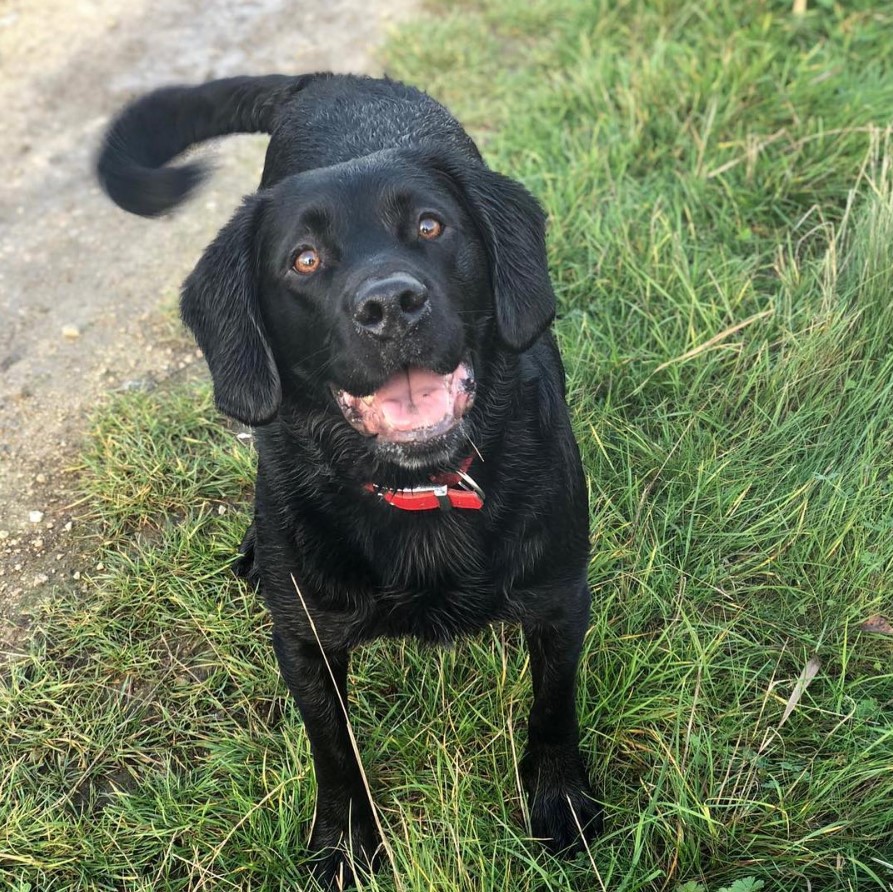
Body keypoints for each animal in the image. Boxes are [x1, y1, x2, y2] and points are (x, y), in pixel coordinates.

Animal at [96, 73, 600, 880]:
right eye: (303, 260)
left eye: (430, 227)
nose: (390, 304)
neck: (419, 489)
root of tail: (330, 79)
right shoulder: (305, 642)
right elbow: (334, 752)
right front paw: (342, 843)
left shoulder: (558, 598)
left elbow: (553, 712)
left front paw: (560, 803)